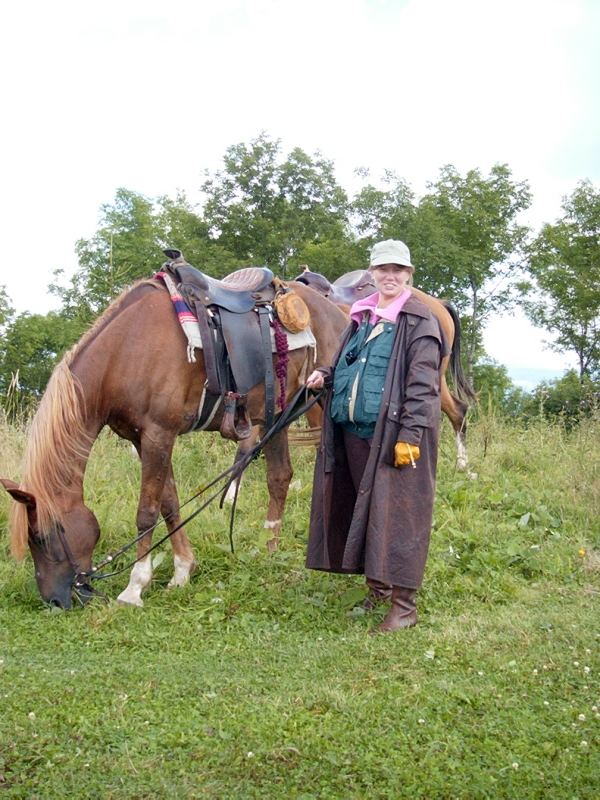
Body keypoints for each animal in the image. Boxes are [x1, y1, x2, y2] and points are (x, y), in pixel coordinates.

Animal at [1, 278, 346, 608]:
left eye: (42, 537)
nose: (55, 601)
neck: (123, 351)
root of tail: (338, 313)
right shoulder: (143, 438)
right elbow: (169, 502)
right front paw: (183, 570)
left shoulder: (158, 434)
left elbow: (147, 511)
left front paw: (135, 587)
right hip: (277, 414)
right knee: (279, 476)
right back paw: (269, 550)